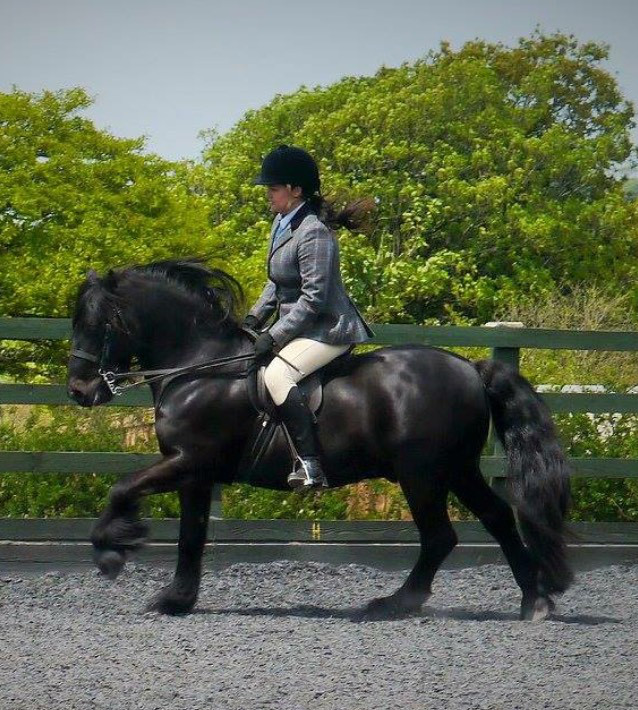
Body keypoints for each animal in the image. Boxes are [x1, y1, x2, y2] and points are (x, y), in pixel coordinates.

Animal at [66, 258, 576, 620]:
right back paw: (533, 602)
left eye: (99, 324)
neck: (198, 367)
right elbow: (191, 536)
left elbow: (122, 488)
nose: (79, 391)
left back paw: (393, 604)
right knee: (497, 517)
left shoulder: (188, 460)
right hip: (456, 469)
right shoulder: (195, 472)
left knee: (439, 536)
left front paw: (111, 552)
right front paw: (176, 599)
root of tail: (470, 367)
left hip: (422, 474)